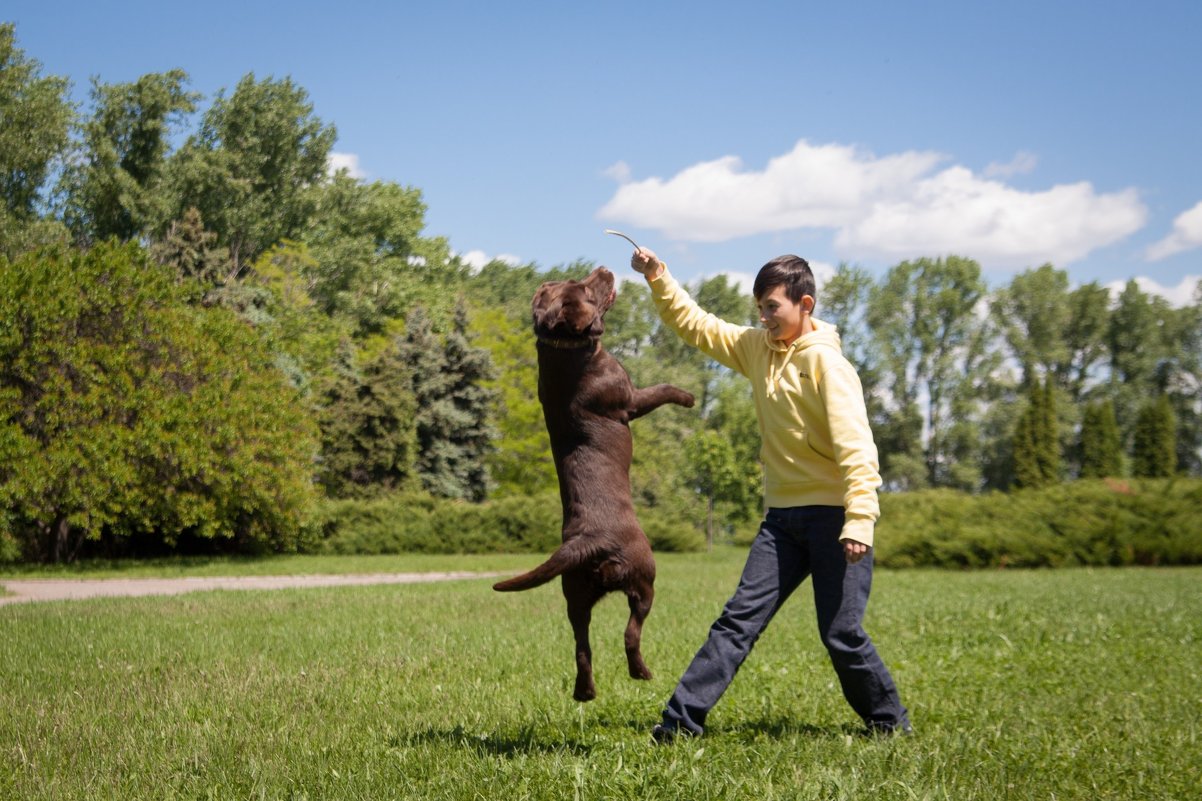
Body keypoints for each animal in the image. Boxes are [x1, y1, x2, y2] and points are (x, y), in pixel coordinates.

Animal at [490, 264, 697, 697]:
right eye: (587, 289)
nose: (604, 268)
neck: (563, 349)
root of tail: (589, 542)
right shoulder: (631, 398)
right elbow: (662, 388)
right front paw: (687, 397)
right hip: (645, 578)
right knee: (631, 633)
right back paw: (641, 673)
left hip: (574, 595)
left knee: (582, 646)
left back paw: (585, 692)